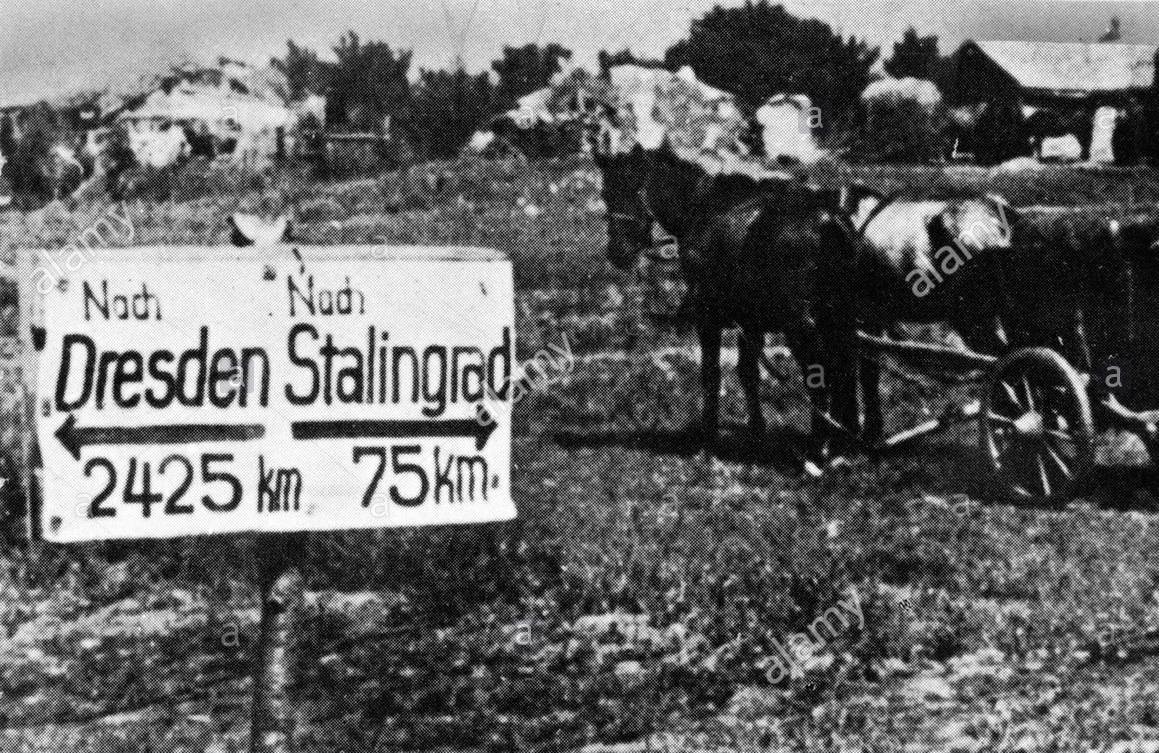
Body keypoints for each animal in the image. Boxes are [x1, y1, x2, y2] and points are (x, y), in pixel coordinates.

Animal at [598, 139, 862, 444]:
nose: (618, 252)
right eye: (605, 194)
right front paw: (757, 432)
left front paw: (709, 437)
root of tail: (828, 220)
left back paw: (821, 444)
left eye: (634, 189)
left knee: (819, 374)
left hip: (800, 324)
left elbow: (711, 373)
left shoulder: (708, 316)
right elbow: (748, 373)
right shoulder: (750, 321)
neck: (703, 209)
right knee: (846, 369)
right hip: (839, 319)